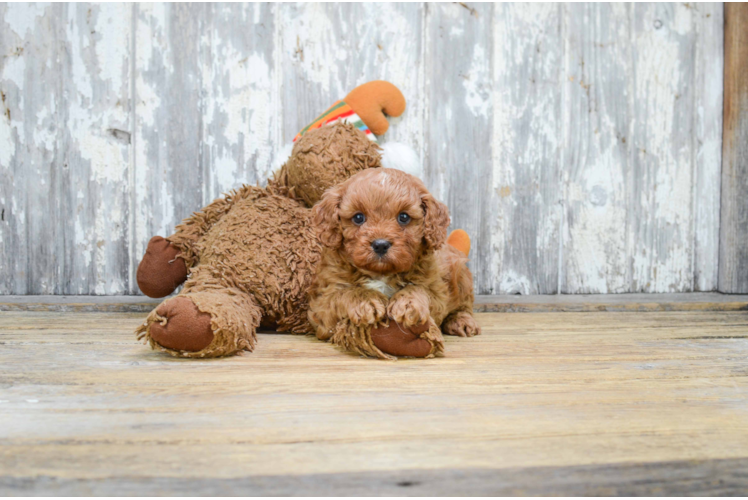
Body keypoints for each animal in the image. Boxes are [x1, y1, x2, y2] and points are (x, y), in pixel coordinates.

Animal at [308, 168, 480, 360]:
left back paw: (461, 321)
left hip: (461, 276)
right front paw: (367, 301)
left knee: (464, 305)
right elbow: (343, 293)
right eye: (358, 217)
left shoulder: (437, 291)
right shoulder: (321, 306)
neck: (381, 273)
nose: (380, 244)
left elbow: (419, 289)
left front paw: (407, 304)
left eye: (403, 217)